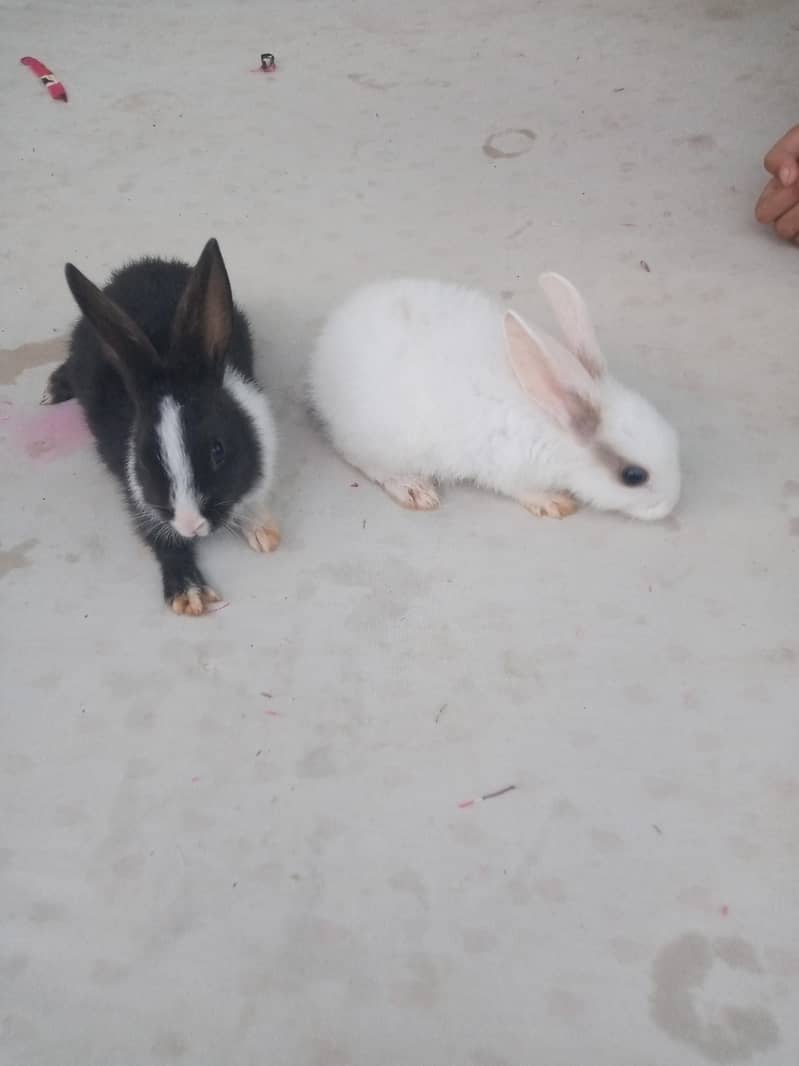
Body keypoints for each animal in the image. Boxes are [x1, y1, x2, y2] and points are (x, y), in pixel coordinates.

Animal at [43, 238, 279, 616]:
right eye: (145, 458)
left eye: (218, 450)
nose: (190, 525)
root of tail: (140, 266)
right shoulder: (138, 497)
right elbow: (159, 539)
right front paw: (189, 594)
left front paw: (262, 532)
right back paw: (54, 387)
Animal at [308, 273, 680, 521]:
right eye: (634, 476)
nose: (670, 504)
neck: (553, 425)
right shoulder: (509, 468)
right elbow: (521, 489)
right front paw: (553, 503)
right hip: (383, 443)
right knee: (364, 461)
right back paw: (415, 489)